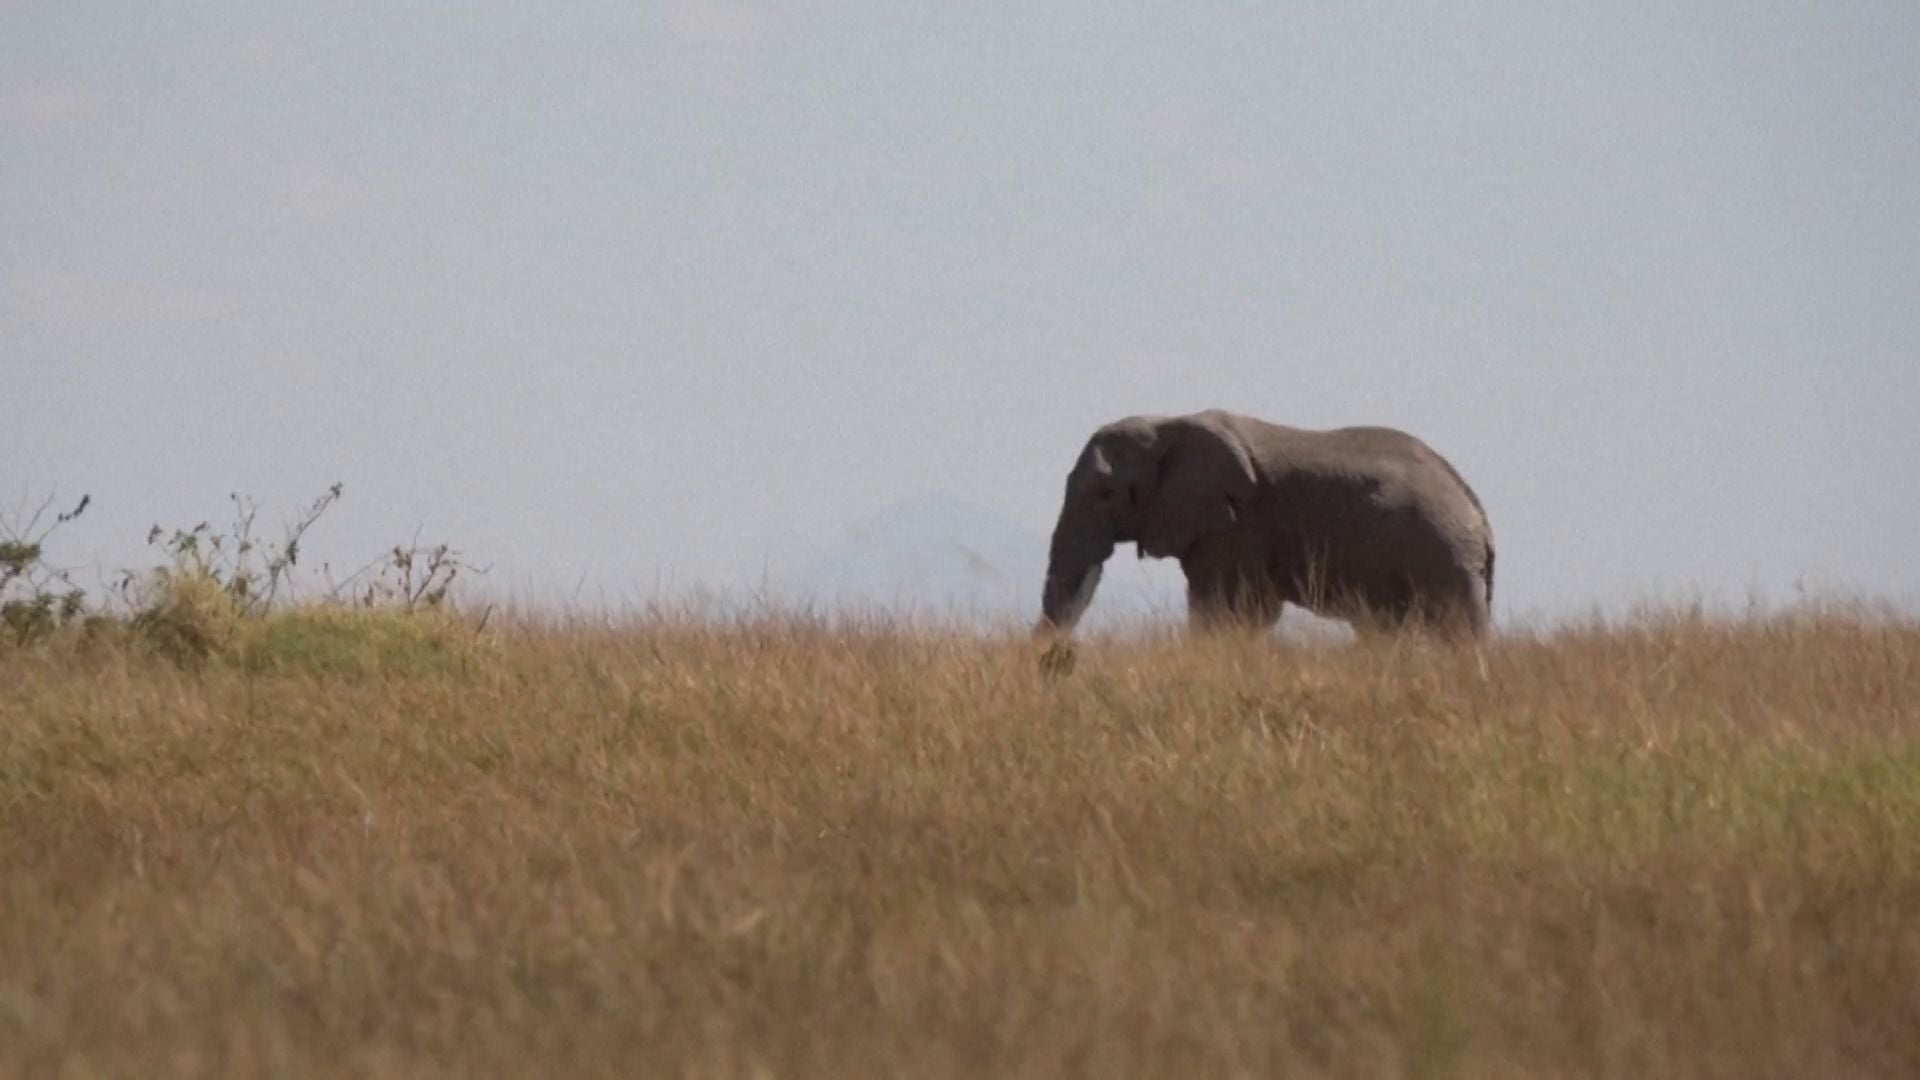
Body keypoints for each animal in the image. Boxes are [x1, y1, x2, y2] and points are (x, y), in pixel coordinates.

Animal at [1036, 409, 1494, 639]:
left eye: (1105, 493)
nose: (1059, 659)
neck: (1166, 422)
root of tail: (1476, 507)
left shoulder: (1237, 524)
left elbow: (1231, 610)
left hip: (1444, 553)